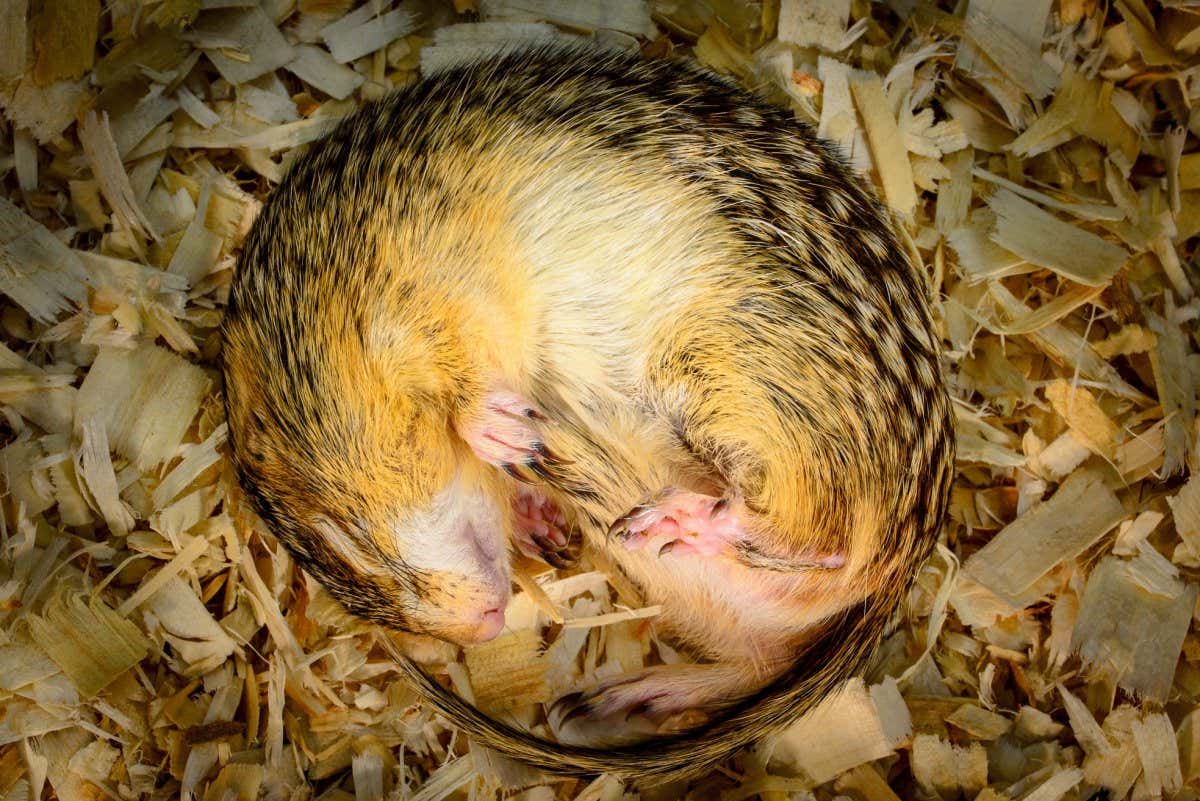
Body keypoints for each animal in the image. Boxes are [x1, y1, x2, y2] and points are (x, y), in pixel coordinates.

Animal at [221, 44, 954, 781]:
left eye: (340, 535)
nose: (485, 627)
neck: (326, 305)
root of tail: (906, 561)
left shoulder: (434, 301)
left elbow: (468, 387)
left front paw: (502, 433)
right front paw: (531, 510)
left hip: (734, 389)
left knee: (822, 537)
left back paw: (681, 515)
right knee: (765, 652)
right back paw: (625, 694)